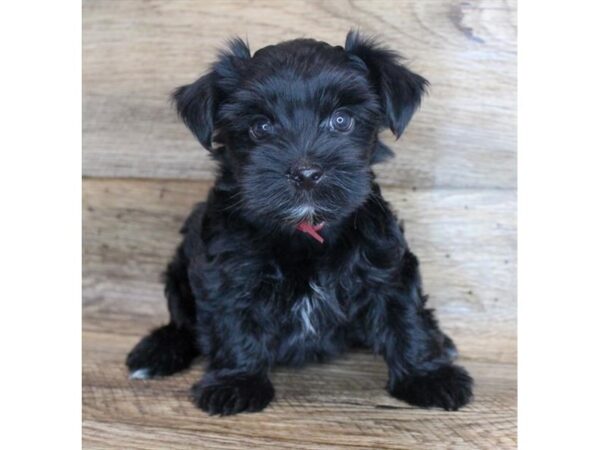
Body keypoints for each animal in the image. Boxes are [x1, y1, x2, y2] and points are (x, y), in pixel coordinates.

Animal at [127, 31, 474, 416]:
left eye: (342, 120)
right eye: (261, 126)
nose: (305, 172)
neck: (306, 228)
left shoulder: (386, 265)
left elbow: (405, 317)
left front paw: (428, 376)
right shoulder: (228, 271)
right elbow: (232, 322)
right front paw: (236, 382)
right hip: (178, 270)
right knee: (182, 323)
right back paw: (157, 350)